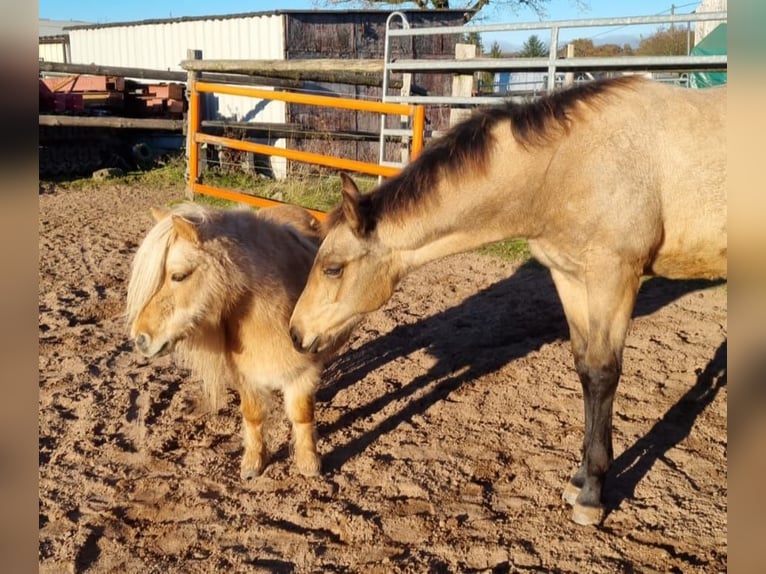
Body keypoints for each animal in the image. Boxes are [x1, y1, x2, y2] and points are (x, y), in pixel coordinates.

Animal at [129, 205, 344, 480]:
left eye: (179, 276)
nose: (140, 338)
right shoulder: (246, 377)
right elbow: (253, 416)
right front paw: (253, 463)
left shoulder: (303, 373)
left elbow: (302, 415)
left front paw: (309, 463)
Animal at [288, 79, 728, 528]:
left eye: (333, 268)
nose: (296, 333)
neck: (568, 167)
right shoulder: (570, 276)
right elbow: (585, 369)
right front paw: (579, 479)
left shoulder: (615, 275)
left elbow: (603, 374)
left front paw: (591, 494)